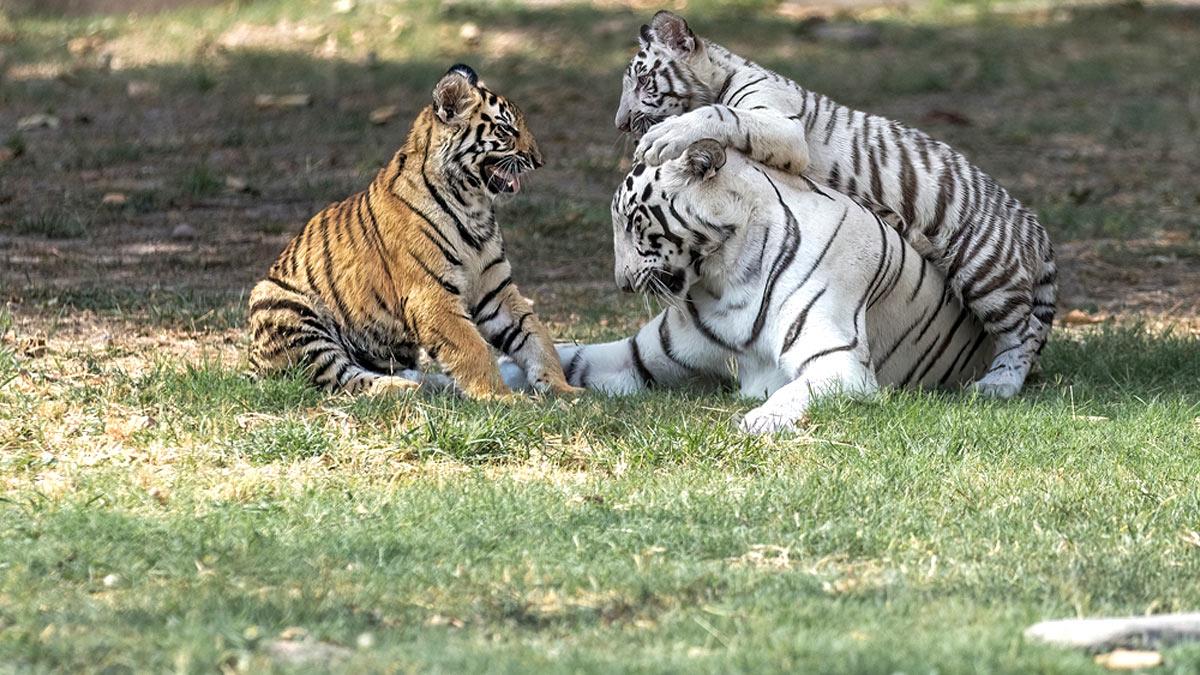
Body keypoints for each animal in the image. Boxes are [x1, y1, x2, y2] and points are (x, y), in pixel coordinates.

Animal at [248, 64, 581, 399]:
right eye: (506, 131)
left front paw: (563, 388)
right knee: (341, 378)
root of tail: (251, 364)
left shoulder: (495, 289)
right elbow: (472, 348)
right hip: (288, 309)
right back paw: (405, 387)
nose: (539, 160)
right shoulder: (431, 294)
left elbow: (534, 335)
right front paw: (500, 397)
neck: (475, 207)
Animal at [500, 139, 992, 434]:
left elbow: (796, 390)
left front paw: (760, 419)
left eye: (634, 222)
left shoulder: (840, 362)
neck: (724, 282)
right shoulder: (635, 357)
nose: (621, 283)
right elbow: (564, 355)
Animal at [614, 10, 1055, 400]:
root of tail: (1033, 223)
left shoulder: (782, 126)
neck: (725, 74)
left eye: (643, 80)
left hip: (985, 270)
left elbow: (721, 114)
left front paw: (664, 138)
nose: (620, 123)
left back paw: (1000, 384)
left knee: (1026, 331)